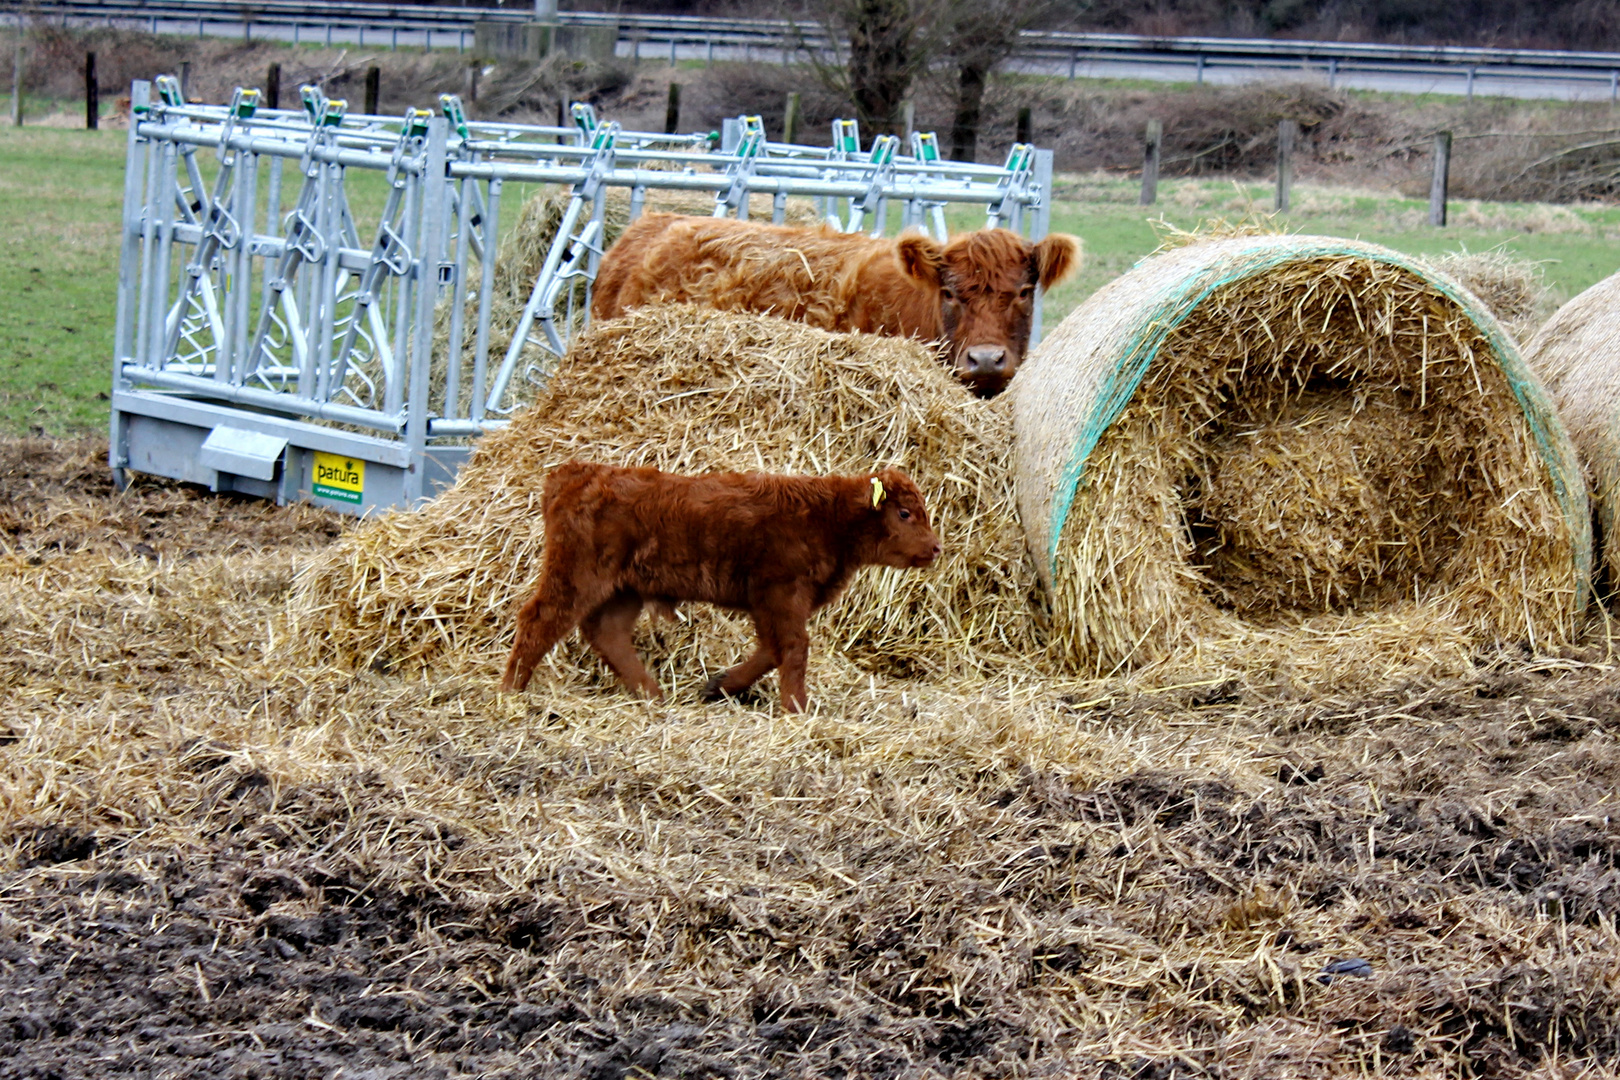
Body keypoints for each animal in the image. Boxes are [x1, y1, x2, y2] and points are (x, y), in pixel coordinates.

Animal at [498, 459, 946, 712]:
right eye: (905, 513)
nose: (936, 547)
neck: (827, 517)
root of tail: (577, 472)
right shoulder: (781, 591)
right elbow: (794, 648)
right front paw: (798, 707)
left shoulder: (771, 602)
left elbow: (771, 651)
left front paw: (720, 686)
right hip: (577, 574)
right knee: (540, 618)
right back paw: (511, 690)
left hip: (623, 588)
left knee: (605, 632)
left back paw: (651, 693)